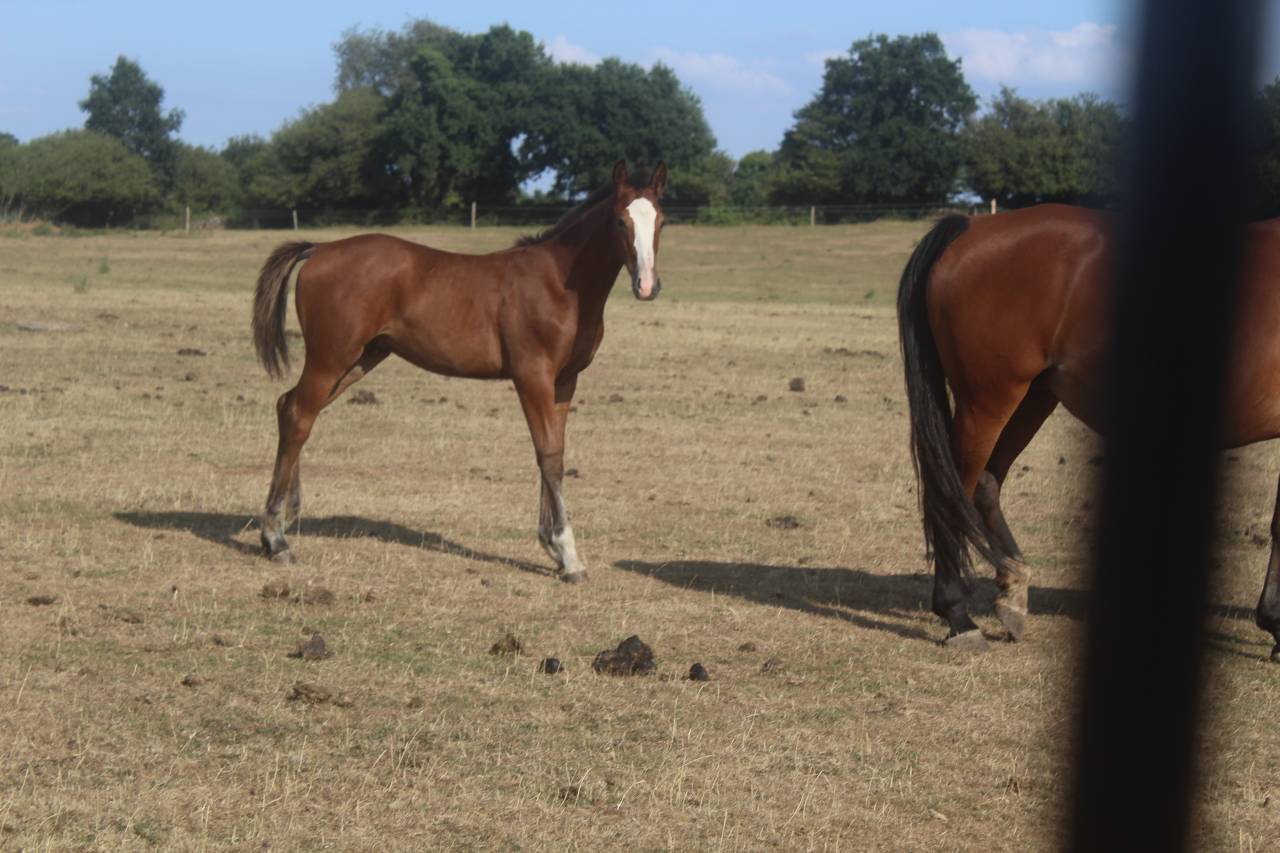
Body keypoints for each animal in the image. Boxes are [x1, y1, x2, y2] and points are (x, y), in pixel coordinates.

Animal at [250, 160, 667, 581]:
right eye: (619, 221)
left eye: (661, 222)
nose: (647, 286)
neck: (559, 284)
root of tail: (320, 249)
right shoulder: (532, 376)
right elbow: (548, 455)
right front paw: (568, 556)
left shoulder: (565, 381)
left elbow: (555, 452)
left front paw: (551, 545)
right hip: (330, 358)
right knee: (299, 416)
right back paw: (276, 539)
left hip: (361, 359)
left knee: (290, 407)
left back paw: (285, 518)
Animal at [898, 203, 1280, 657]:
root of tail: (974, 226)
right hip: (987, 401)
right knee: (951, 492)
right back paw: (958, 616)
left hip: (1032, 398)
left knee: (984, 485)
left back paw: (1013, 590)